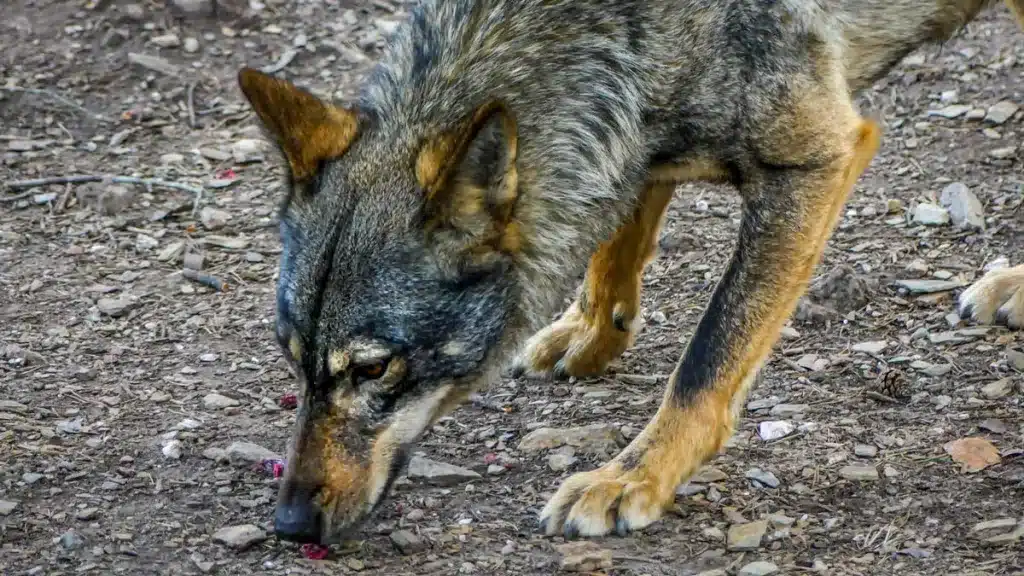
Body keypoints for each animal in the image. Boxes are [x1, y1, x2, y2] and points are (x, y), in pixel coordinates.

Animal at [235, 0, 1024, 544]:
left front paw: (632, 476)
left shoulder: (814, 159)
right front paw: (592, 332)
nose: (290, 524)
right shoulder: (633, 134)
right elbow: (615, 239)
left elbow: (706, 360)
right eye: (292, 360)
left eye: (373, 369)